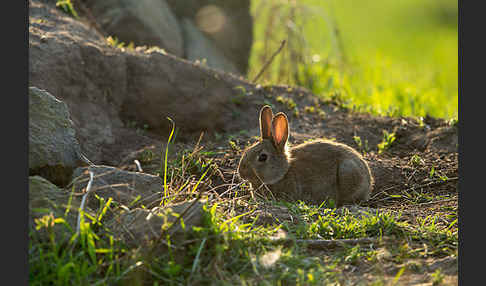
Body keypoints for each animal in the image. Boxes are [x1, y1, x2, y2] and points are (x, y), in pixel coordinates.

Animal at [237, 105, 374, 208]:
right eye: (247, 150)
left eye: (263, 157)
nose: (241, 173)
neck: (283, 172)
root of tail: (369, 182)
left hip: (347, 171)